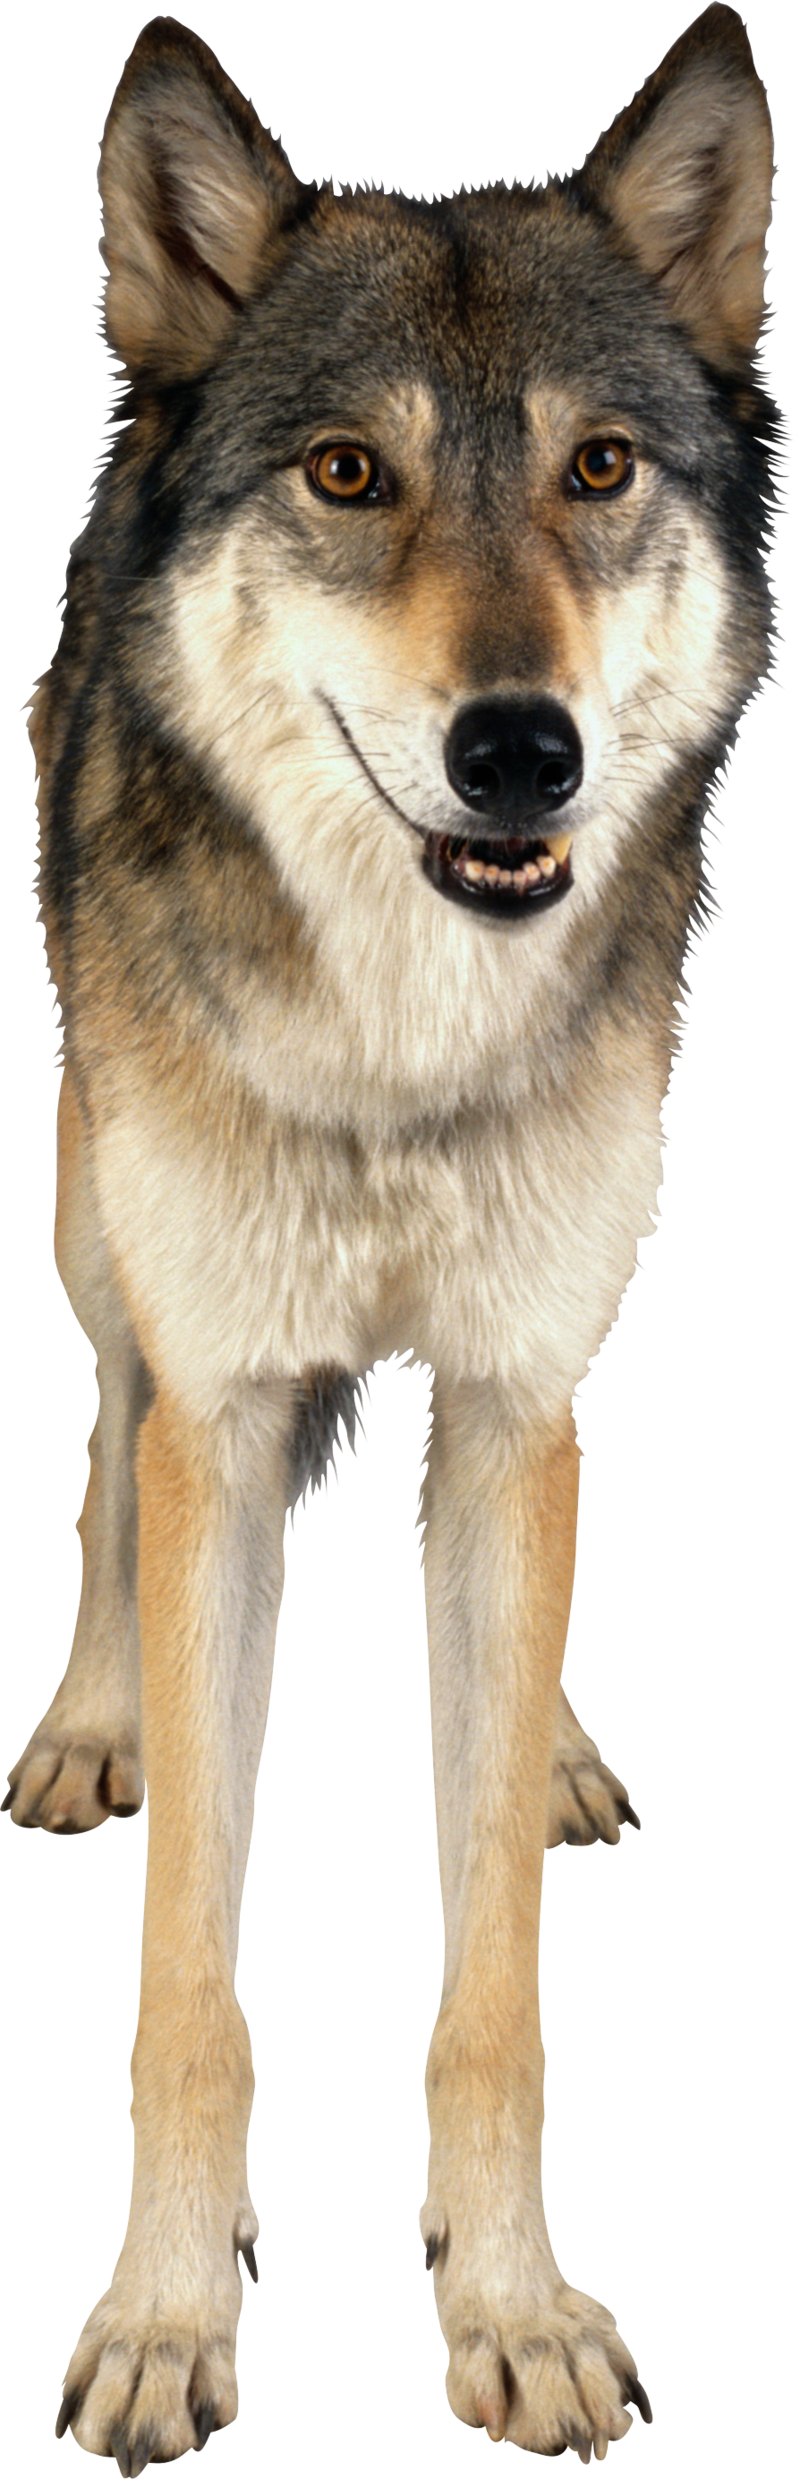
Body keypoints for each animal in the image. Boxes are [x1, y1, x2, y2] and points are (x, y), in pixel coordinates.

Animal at [6, 5, 783, 2462]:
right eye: (350, 475)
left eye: (601, 468)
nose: (521, 749)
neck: (402, 1041)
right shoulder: (227, 1395)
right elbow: (189, 1979)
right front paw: (164, 2319)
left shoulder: (524, 1381)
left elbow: (492, 1987)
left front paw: (512, 2308)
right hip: (97, 1226)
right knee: (102, 1451)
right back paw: (92, 1719)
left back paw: (554, 1755)